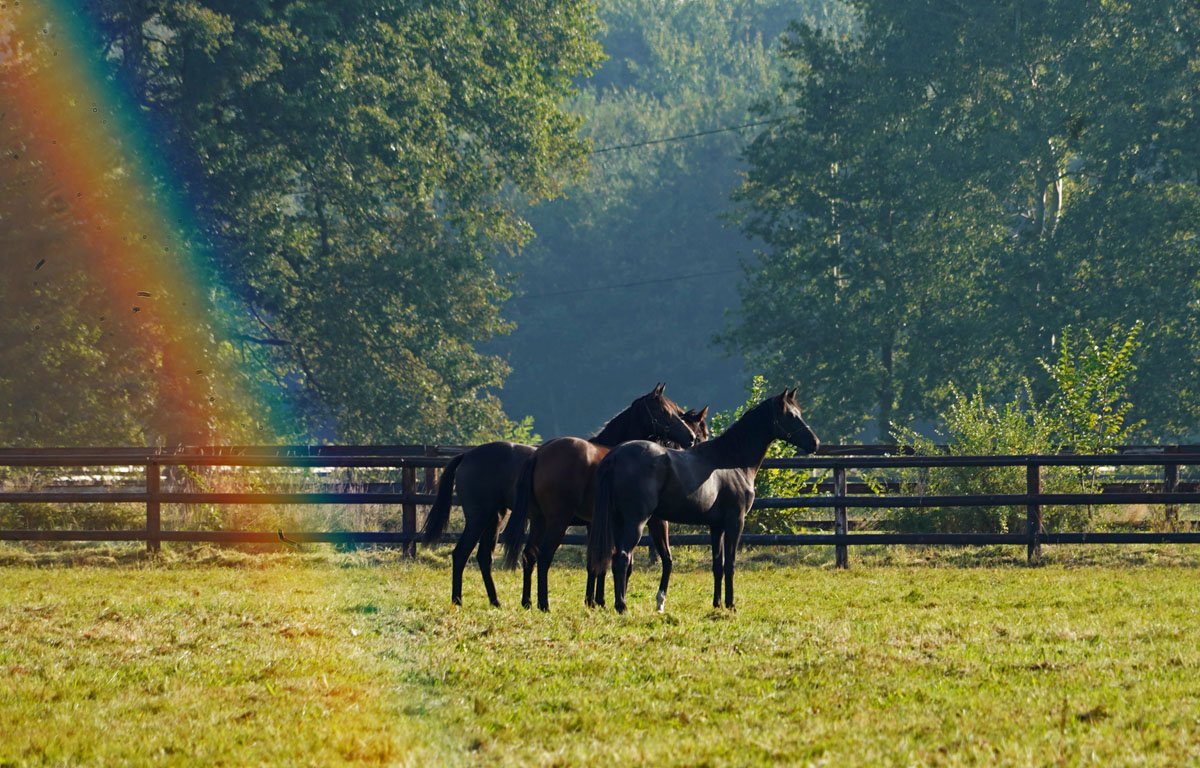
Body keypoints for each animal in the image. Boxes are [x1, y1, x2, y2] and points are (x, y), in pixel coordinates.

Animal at [419, 406, 707, 608]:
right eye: (666, 412)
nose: (693, 440)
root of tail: (467, 454)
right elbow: (606, 561)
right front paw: (599, 600)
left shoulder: (597, 524)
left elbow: (597, 561)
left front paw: (594, 600)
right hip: (482, 517)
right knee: (463, 554)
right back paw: (461, 600)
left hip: (496, 518)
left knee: (485, 557)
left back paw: (497, 600)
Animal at [501, 384, 703, 612]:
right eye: (665, 412)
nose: (691, 438)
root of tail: (539, 454)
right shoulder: (644, 522)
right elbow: (617, 561)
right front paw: (605, 600)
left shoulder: (600, 524)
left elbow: (597, 561)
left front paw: (594, 600)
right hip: (557, 521)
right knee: (544, 557)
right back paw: (544, 603)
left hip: (539, 521)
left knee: (529, 555)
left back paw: (527, 601)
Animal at [588, 389, 819, 613]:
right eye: (790, 415)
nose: (815, 443)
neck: (731, 462)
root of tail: (615, 455)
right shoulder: (735, 522)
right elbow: (730, 564)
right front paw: (731, 605)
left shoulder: (716, 527)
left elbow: (717, 566)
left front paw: (717, 604)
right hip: (635, 522)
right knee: (622, 558)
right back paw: (622, 606)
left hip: (617, 522)